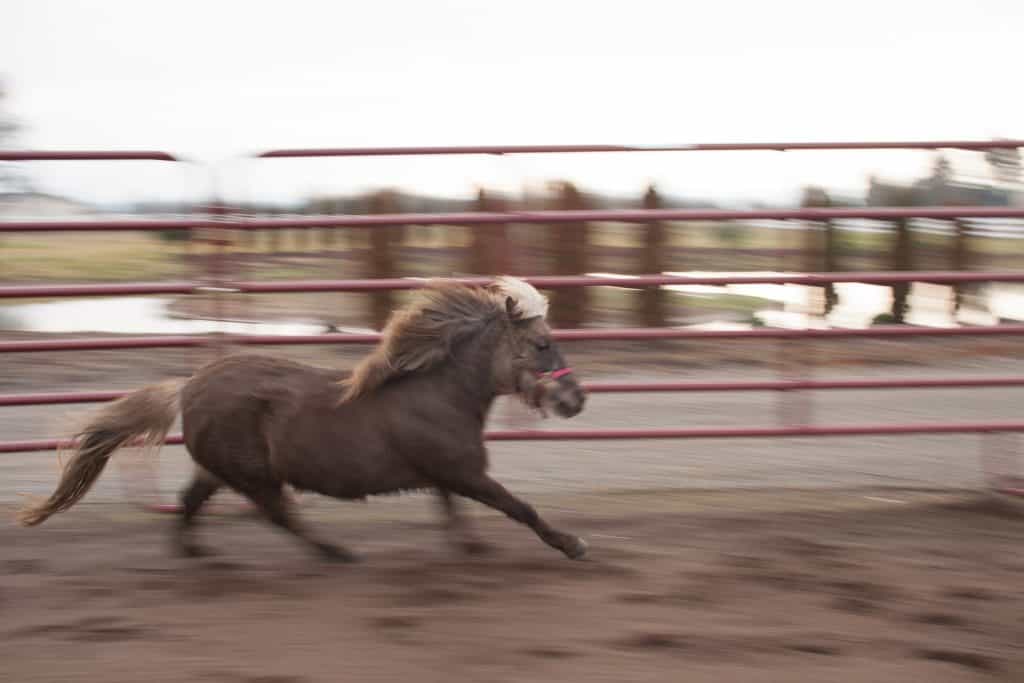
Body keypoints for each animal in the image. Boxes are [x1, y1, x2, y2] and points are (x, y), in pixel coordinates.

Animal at [19, 276, 589, 561]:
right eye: (542, 344)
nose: (576, 399)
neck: (437, 393)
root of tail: (189, 386)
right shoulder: (465, 472)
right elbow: (520, 508)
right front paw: (573, 545)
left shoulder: (447, 474)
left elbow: (454, 511)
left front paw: (471, 546)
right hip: (252, 475)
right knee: (278, 514)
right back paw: (337, 552)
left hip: (222, 470)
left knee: (192, 502)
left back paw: (194, 552)